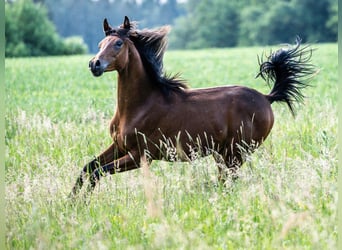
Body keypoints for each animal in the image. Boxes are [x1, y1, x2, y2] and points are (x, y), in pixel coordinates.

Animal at [69, 16, 316, 197]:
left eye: (118, 43)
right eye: (100, 44)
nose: (94, 64)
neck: (140, 106)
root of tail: (267, 97)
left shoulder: (141, 156)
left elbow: (97, 172)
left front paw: (82, 204)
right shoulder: (119, 146)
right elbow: (87, 168)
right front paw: (72, 204)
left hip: (236, 153)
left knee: (230, 181)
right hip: (223, 154)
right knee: (224, 180)